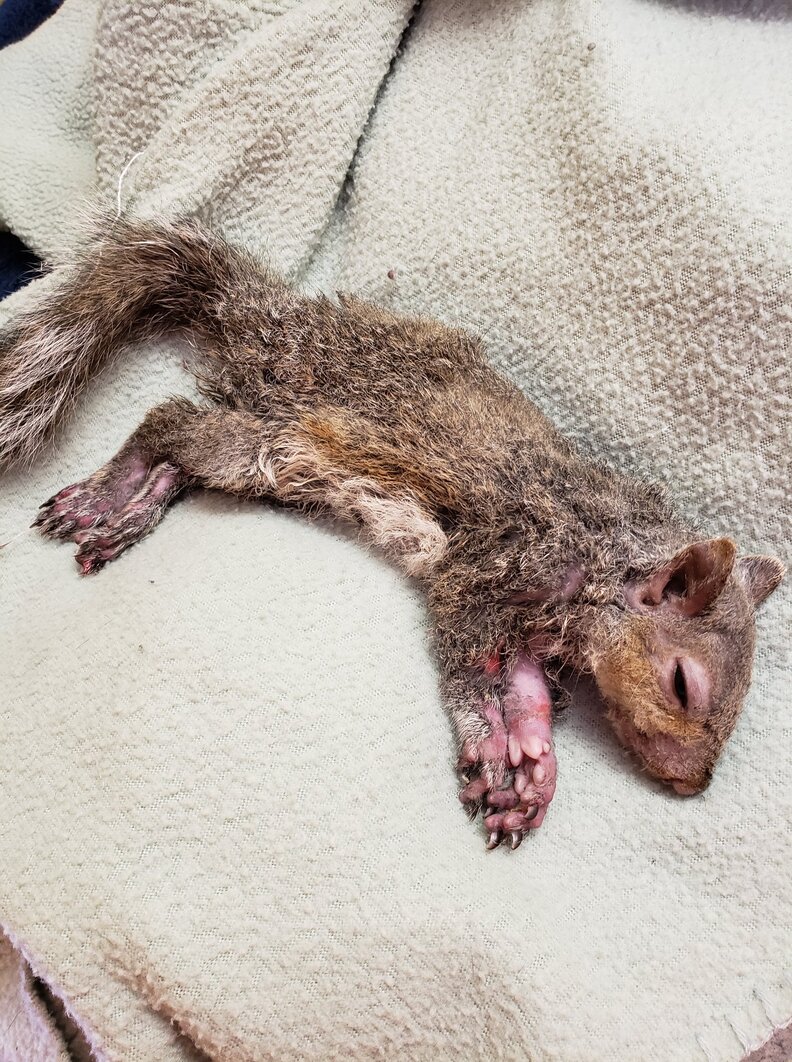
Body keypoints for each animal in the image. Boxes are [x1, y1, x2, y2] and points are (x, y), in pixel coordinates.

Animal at [0, 216, 784, 849]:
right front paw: (489, 743)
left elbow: (523, 684)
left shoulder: (527, 623)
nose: (693, 786)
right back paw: (108, 493)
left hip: (267, 456)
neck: (607, 558)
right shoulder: (494, 565)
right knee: (167, 424)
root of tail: (274, 320)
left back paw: (131, 511)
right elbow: (466, 668)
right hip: (279, 438)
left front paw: (533, 758)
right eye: (682, 684)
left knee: (181, 462)